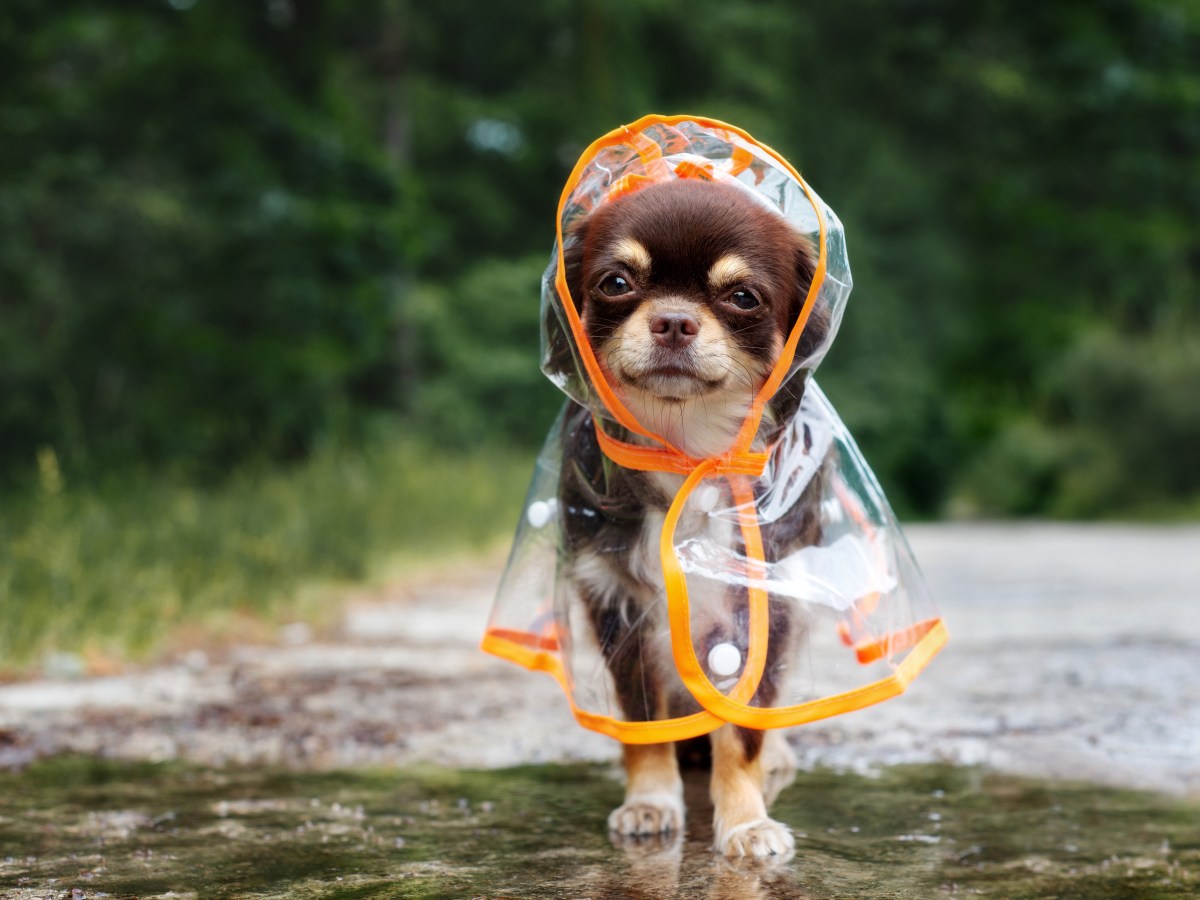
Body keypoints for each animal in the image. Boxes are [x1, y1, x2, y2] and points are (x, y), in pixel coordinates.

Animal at [549, 177, 825, 859]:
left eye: (743, 297)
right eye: (616, 283)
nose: (674, 320)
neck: (685, 450)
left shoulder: (760, 609)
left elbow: (743, 730)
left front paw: (747, 821)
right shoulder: (620, 607)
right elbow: (645, 722)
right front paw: (649, 802)